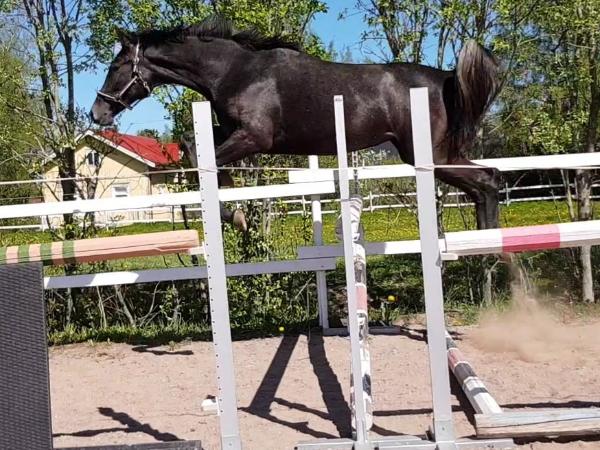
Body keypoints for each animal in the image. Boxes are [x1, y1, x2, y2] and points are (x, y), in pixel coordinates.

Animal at [91, 16, 501, 230]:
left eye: (117, 66)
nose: (97, 113)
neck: (235, 71)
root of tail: (445, 78)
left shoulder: (255, 138)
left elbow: (200, 157)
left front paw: (235, 215)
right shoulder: (233, 133)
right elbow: (195, 150)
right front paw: (237, 211)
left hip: (425, 154)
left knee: (486, 182)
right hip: (435, 154)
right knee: (487, 181)